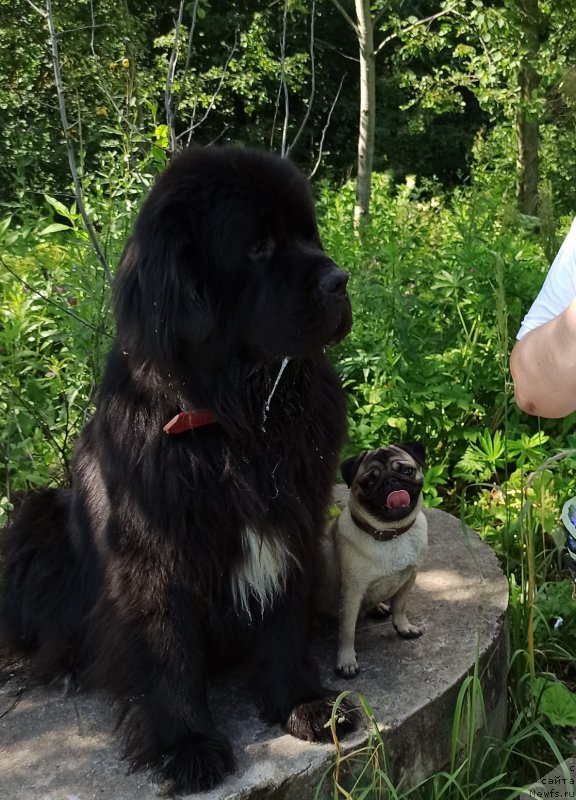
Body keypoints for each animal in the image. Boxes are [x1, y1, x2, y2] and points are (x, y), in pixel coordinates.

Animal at [1, 145, 356, 792]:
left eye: (308, 234)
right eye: (258, 246)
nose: (340, 280)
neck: (237, 420)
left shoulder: (292, 523)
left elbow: (284, 620)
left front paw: (303, 702)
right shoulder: (153, 552)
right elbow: (167, 647)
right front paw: (186, 744)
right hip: (36, 519)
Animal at [320, 440, 428, 680]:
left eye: (407, 471)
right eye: (369, 482)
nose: (391, 480)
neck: (391, 533)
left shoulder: (409, 578)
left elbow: (400, 605)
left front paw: (403, 626)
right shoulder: (351, 593)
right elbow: (347, 632)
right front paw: (346, 661)